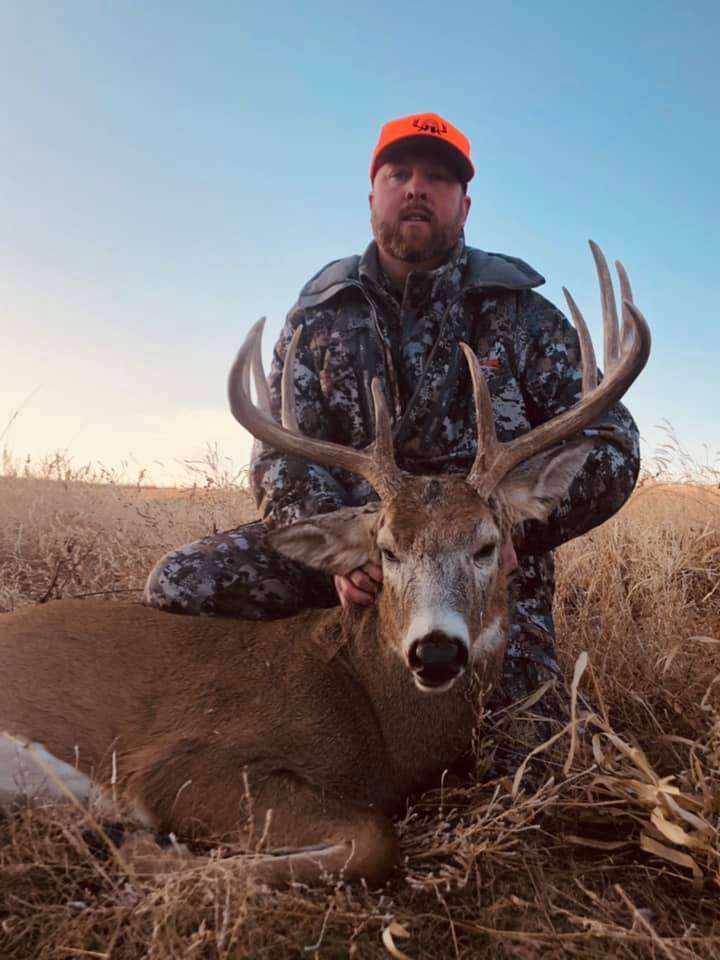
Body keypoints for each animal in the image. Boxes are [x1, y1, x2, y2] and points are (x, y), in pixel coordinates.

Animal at [0, 243, 650, 886]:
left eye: (487, 545)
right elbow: (374, 840)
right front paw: (146, 851)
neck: (374, 721)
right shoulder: (178, 760)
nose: (436, 651)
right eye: (387, 550)